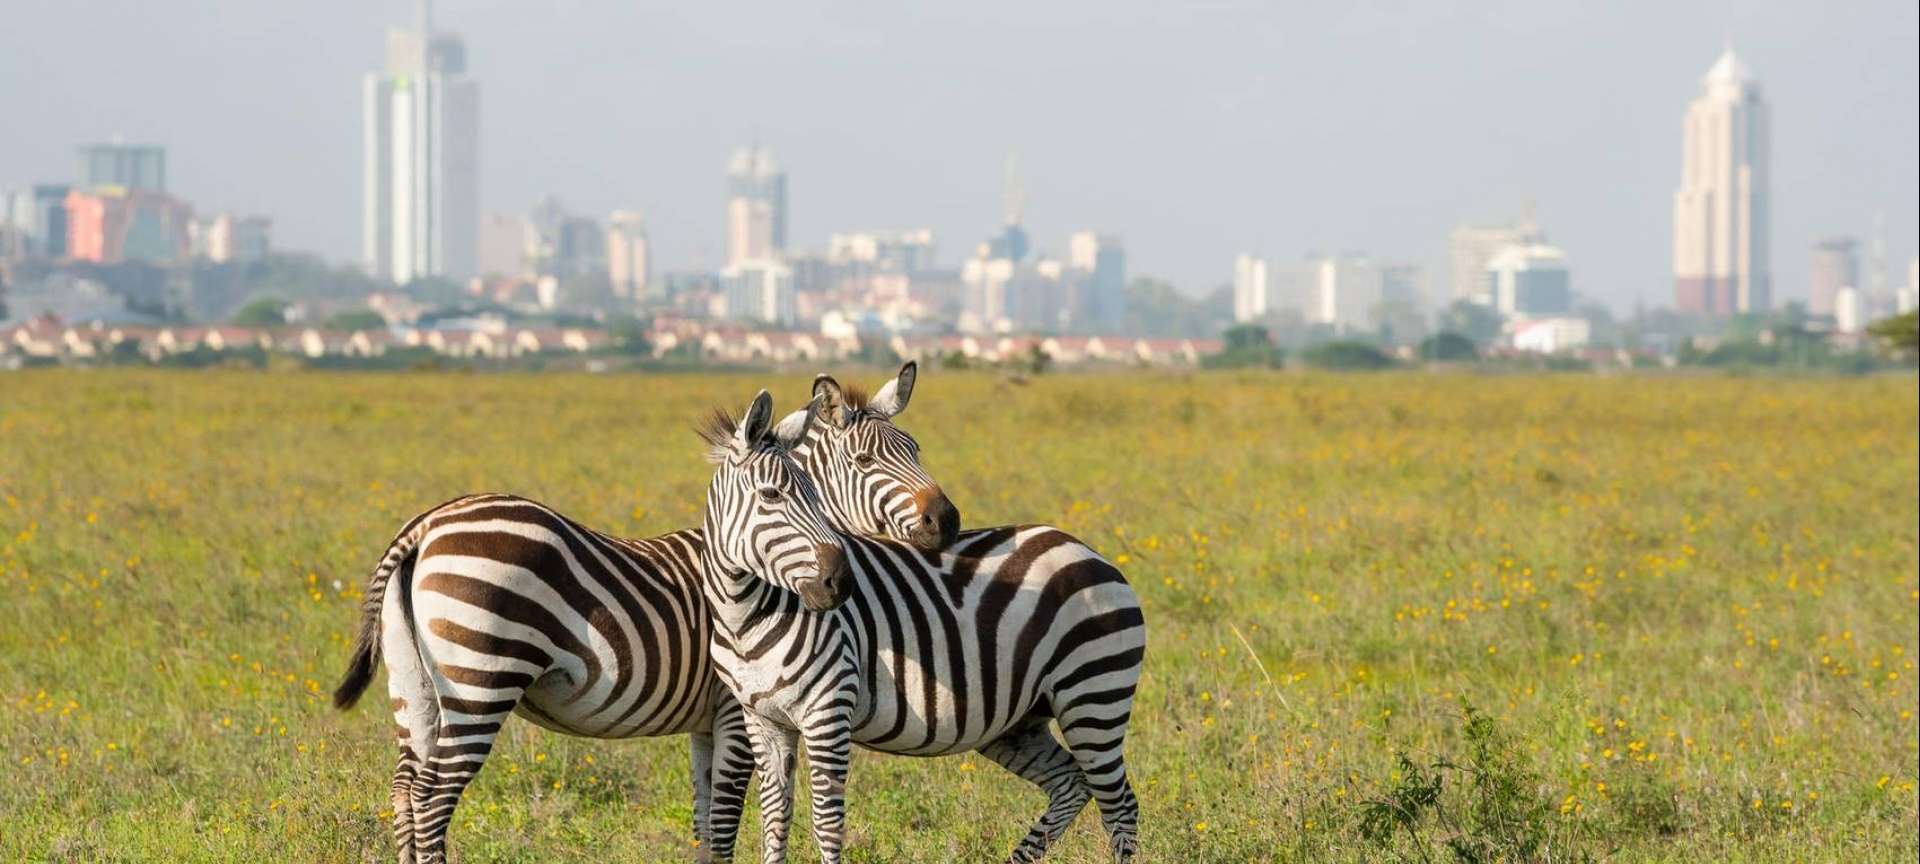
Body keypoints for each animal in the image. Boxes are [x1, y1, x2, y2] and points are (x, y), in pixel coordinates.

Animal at [330, 367, 954, 863]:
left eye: (917, 449)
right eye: (865, 460)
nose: (946, 521)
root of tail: (425, 526)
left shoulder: (707, 722)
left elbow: (704, 821)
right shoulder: (735, 712)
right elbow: (724, 824)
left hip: (413, 687)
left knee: (406, 790)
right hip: (480, 681)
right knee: (433, 798)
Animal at [699, 425, 1147, 863]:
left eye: (815, 495)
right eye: (771, 495)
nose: (841, 583)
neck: (746, 619)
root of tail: (1088, 550)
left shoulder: (827, 711)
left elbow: (826, 824)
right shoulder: (764, 721)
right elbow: (775, 820)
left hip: (1093, 694)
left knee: (1120, 805)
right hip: (1019, 722)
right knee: (1072, 784)